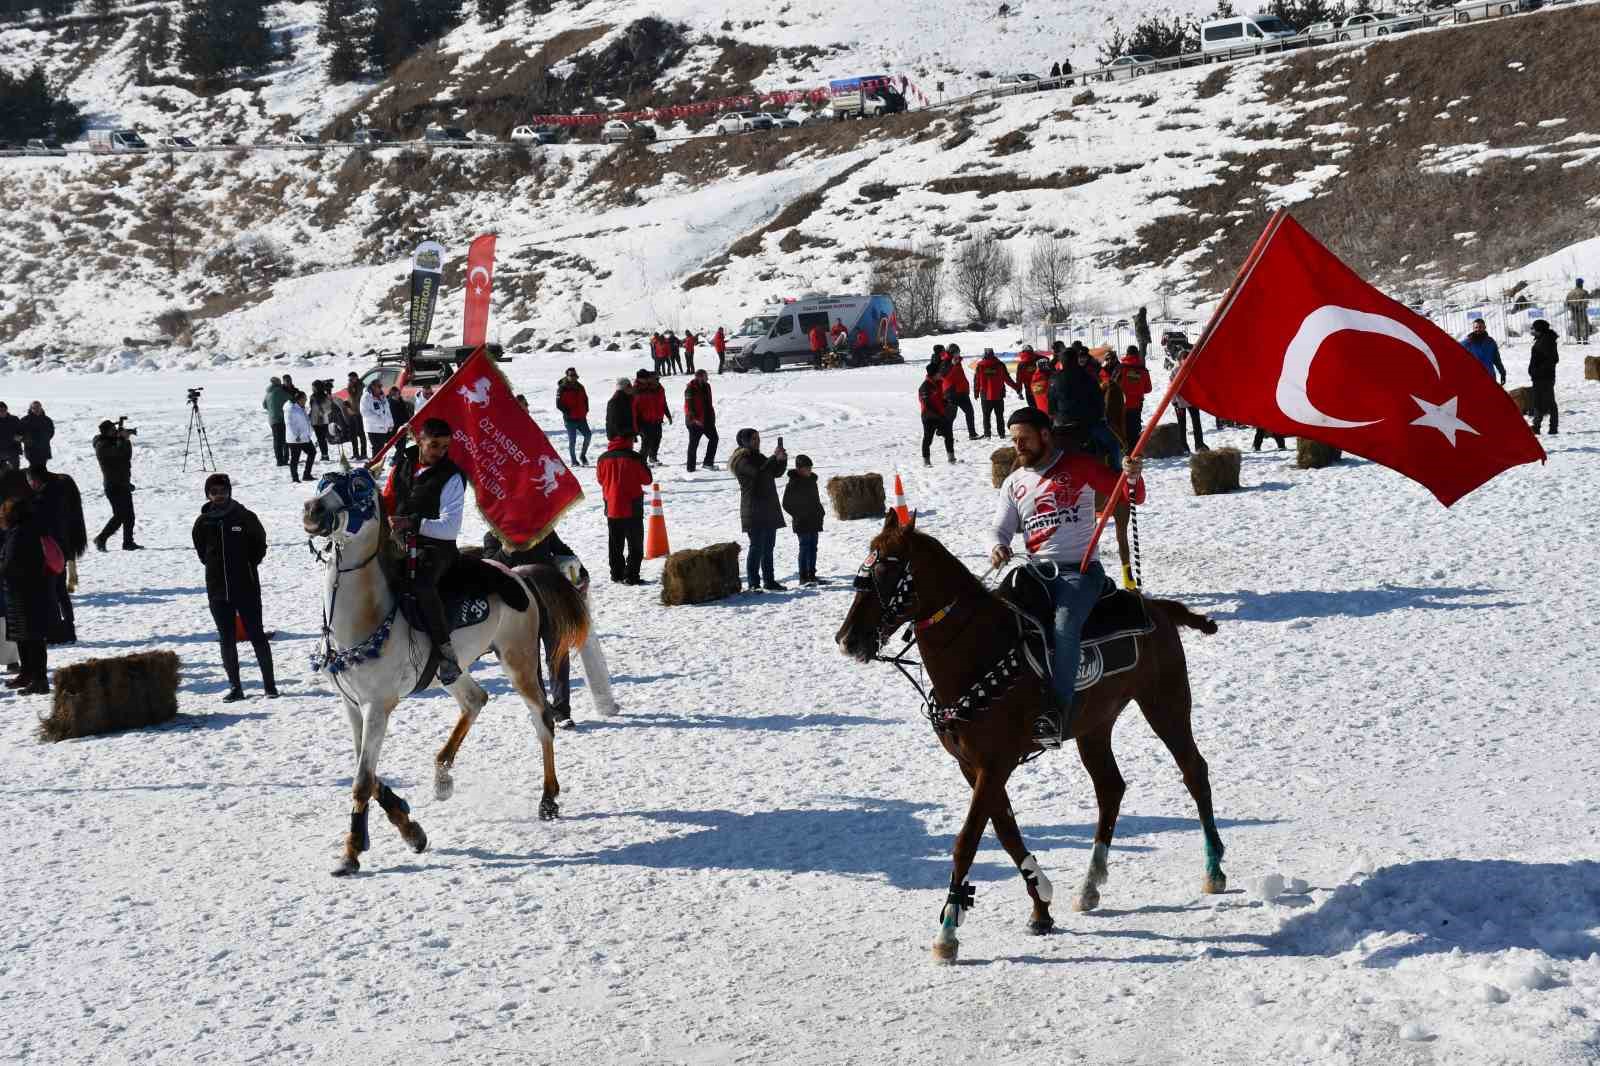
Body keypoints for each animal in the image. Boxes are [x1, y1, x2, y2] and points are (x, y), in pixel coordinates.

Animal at [302, 464, 592, 870]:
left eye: (358, 487)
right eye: (323, 482)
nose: (312, 510)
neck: (364, 618)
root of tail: (518, 575)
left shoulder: (378, 706)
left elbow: (362, 780)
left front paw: (352, 850)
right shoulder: (352, 705)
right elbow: (369, 773)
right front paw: (410, 829)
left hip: (518, 660)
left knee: (542, 721)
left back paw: (548, 799)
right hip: (450, 670)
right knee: (475, 699)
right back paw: (442, 776)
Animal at [838, 512, 1222, 960]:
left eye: (887, 569)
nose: (847, 639)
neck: (976, 651)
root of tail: (1158, 607)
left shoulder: (995, 764)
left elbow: (967, 840)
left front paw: (948, 934)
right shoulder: (973, 767)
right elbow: (1007, 833)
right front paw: (1041, 906)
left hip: (1166, 703)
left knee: (1194, 771)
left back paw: (1215, 869)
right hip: (1095, 727)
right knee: (1111, 788)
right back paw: (1089, 886)